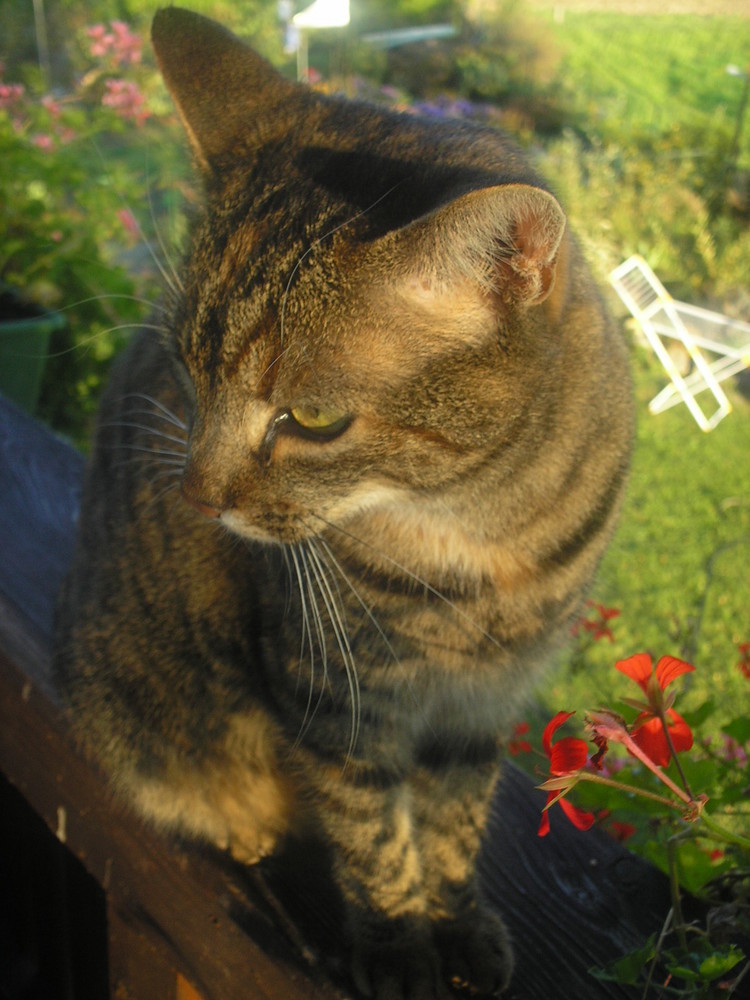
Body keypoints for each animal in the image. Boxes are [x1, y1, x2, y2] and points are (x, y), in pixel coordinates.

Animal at [53, 9, 632, 1000]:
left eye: (314, 419)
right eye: (189, 373)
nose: (197, 497)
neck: (481, 529)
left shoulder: (482, 699)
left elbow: (454, 820)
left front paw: (457, 921)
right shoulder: (332, 685)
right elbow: (373, 831)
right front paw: (398, 943)